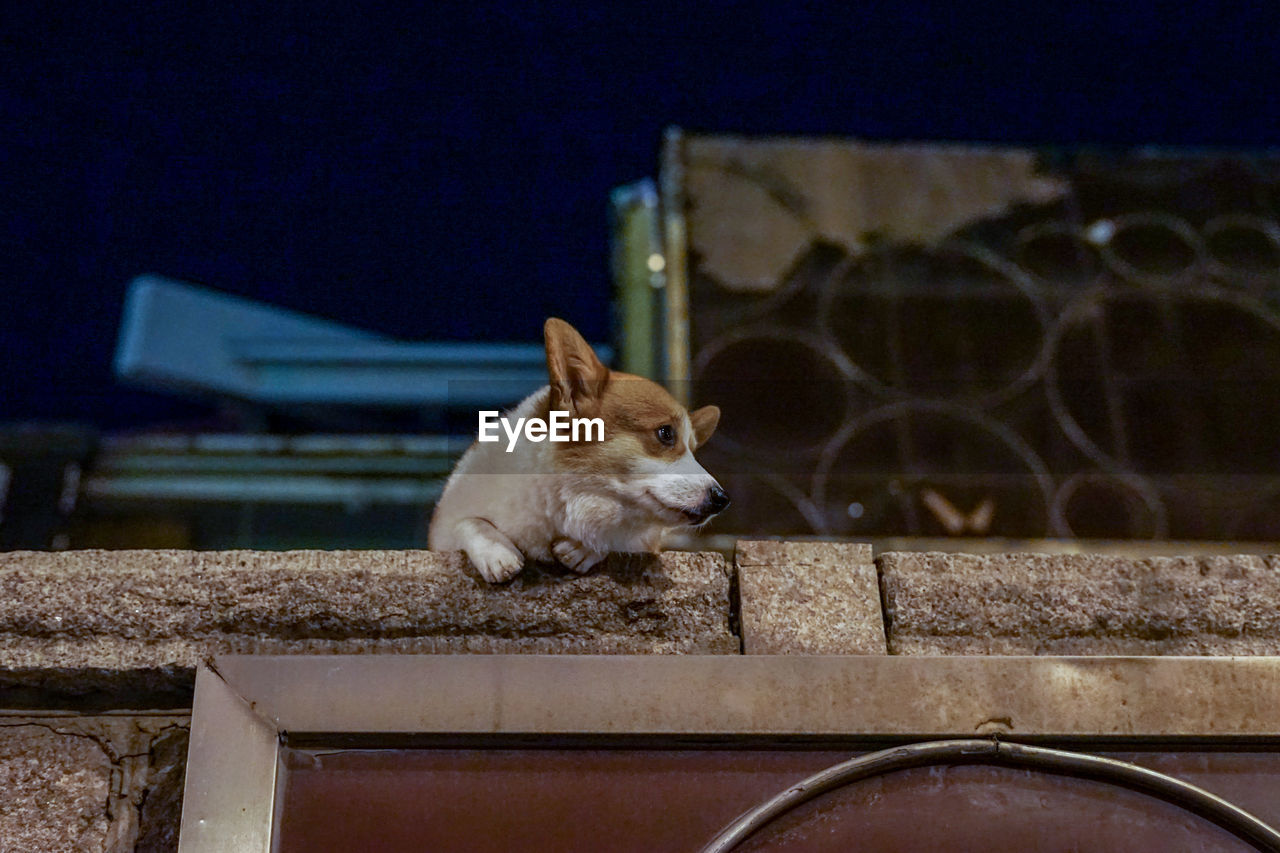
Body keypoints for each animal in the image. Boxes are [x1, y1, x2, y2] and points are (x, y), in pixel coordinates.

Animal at [430, 315, 732, 581]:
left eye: (693, 449)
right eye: (666, 433)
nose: (722, 499)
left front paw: (585, 548)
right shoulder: (443, 526)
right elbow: (469, 523)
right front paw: (497, 553)